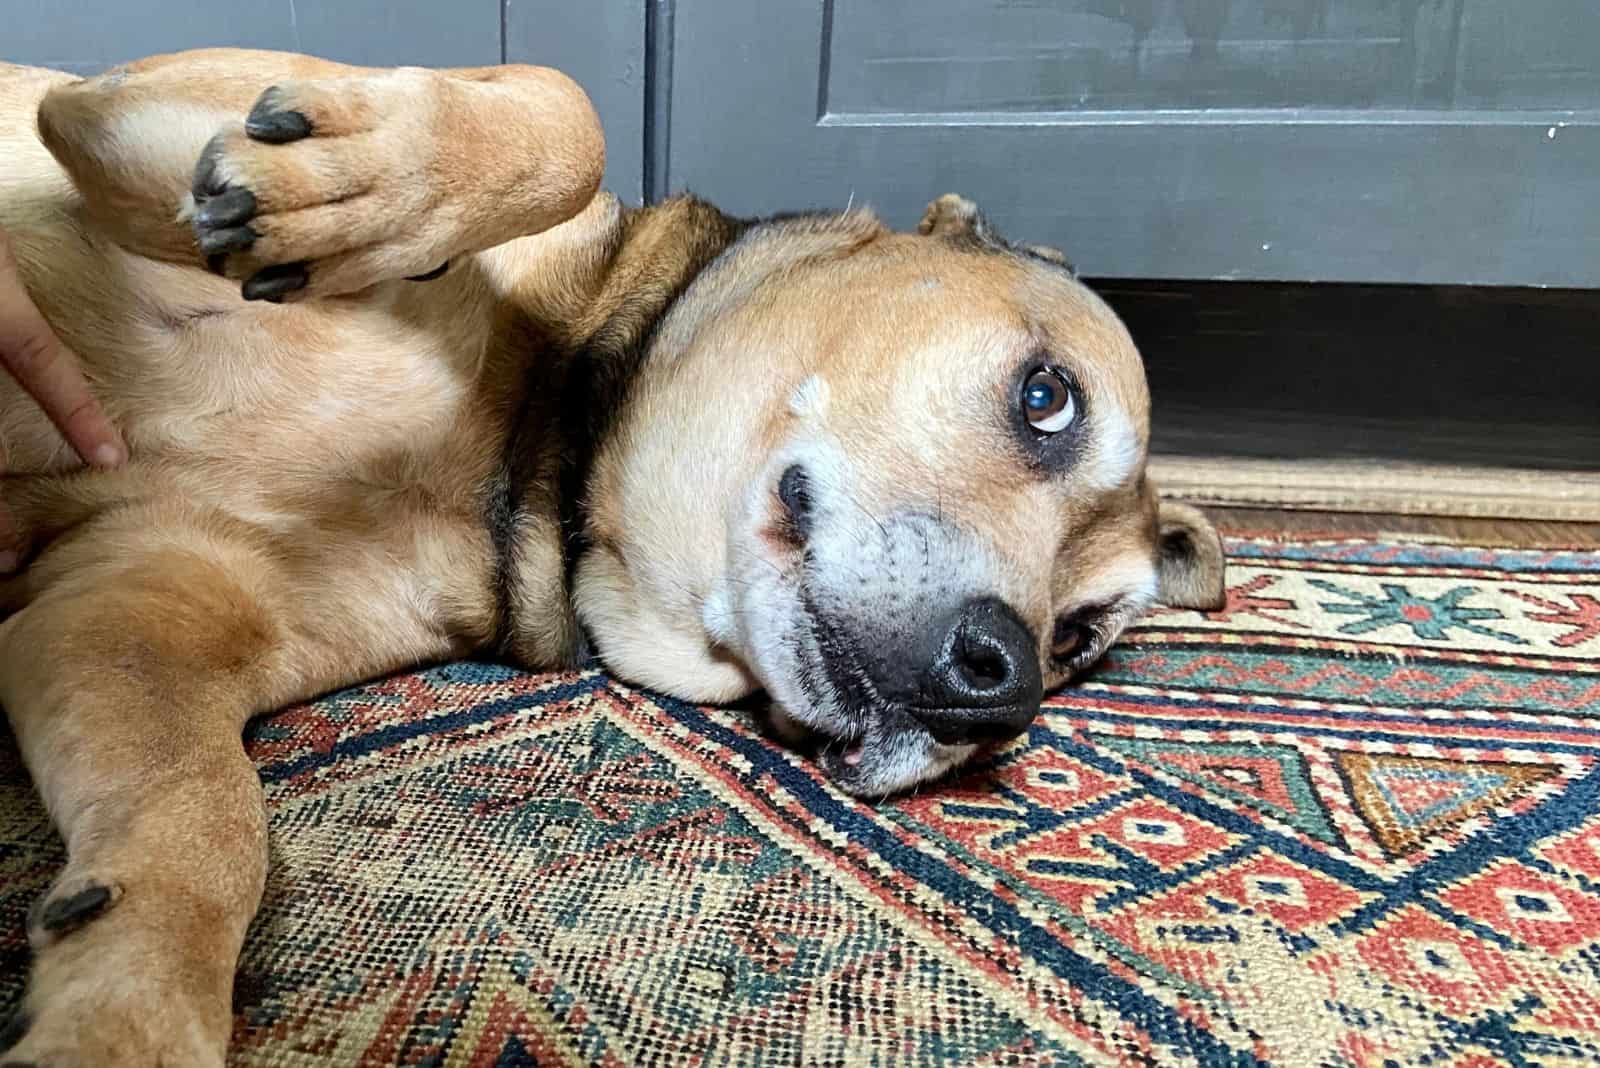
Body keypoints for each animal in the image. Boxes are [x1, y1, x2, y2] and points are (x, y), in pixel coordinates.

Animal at [0, 49, 1222, 1068]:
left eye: (1079, 639)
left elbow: (203, 825)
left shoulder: (125, 613)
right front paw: (354, 184)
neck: (542, 434)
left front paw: (118, 1014)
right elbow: (567, 111)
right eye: (1048, 398)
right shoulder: (116, 107)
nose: (1004, 694)